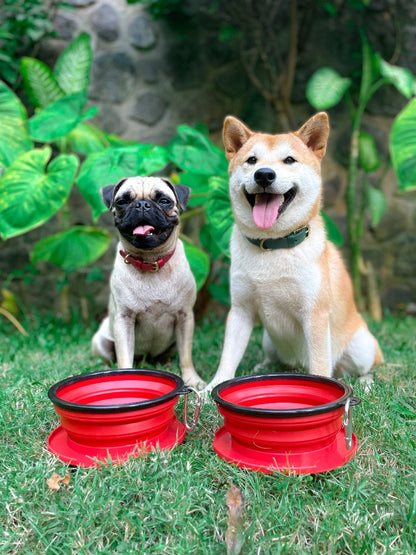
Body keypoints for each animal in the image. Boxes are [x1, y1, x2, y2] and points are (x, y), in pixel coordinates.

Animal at [92, 176, 206, 388]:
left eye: (164, 200)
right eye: (122, 201)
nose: (142, 205)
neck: (150, 262)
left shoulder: (185, 317)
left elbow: (186, 356)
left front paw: (192, 380)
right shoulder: (124, 320)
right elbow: (124, 357)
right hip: (101, 341)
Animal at [205, 113, 384, 390]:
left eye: (289, 160)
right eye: (252, 160)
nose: (264, 175)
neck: (272, 245)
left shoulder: (315, 314)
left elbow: (320, 364)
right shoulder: (240, 311)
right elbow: (228, 358)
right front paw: (210, 389)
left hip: (361, 347)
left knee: (364, 367)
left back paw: (365, 382)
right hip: (268, 339)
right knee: (276, 359)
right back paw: (264, 366)